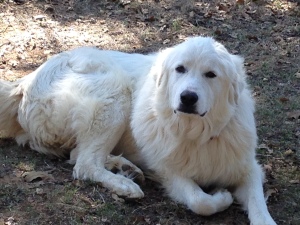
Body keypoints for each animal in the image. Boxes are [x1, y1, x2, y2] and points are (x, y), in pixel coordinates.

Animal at [0, 37, 276, 225]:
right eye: (180, 69)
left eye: (211, 74)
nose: (188, 97)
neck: (195, 133)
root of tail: (25, 82)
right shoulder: (170, 173)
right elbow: (201, 202)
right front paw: (222, 197)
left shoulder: (246, 166)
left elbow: (257, 203)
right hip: (114, 92)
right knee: (85, 164)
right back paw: (125, 185)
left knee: (78, 155)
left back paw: (125, 167)